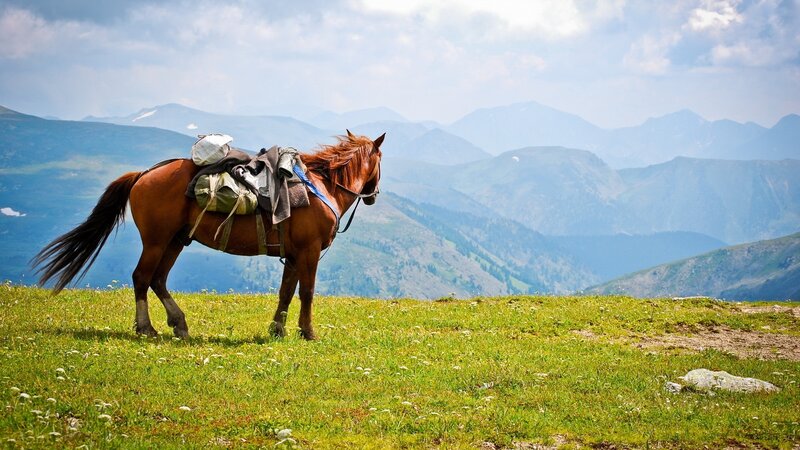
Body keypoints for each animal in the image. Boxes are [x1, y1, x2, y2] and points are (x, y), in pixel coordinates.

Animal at [31, 131, 384, 340]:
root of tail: (143, 174)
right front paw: (307, 332)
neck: (323, 188)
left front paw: (277, 330)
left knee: (158, 279)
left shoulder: (293, 255)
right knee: (142, 277)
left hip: (176, 240)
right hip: (156, 241)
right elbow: (307, 292)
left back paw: (179, 325)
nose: (373, 196)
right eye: (380, 161)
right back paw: (147, 328)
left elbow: (286, 292)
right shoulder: (308, 252)